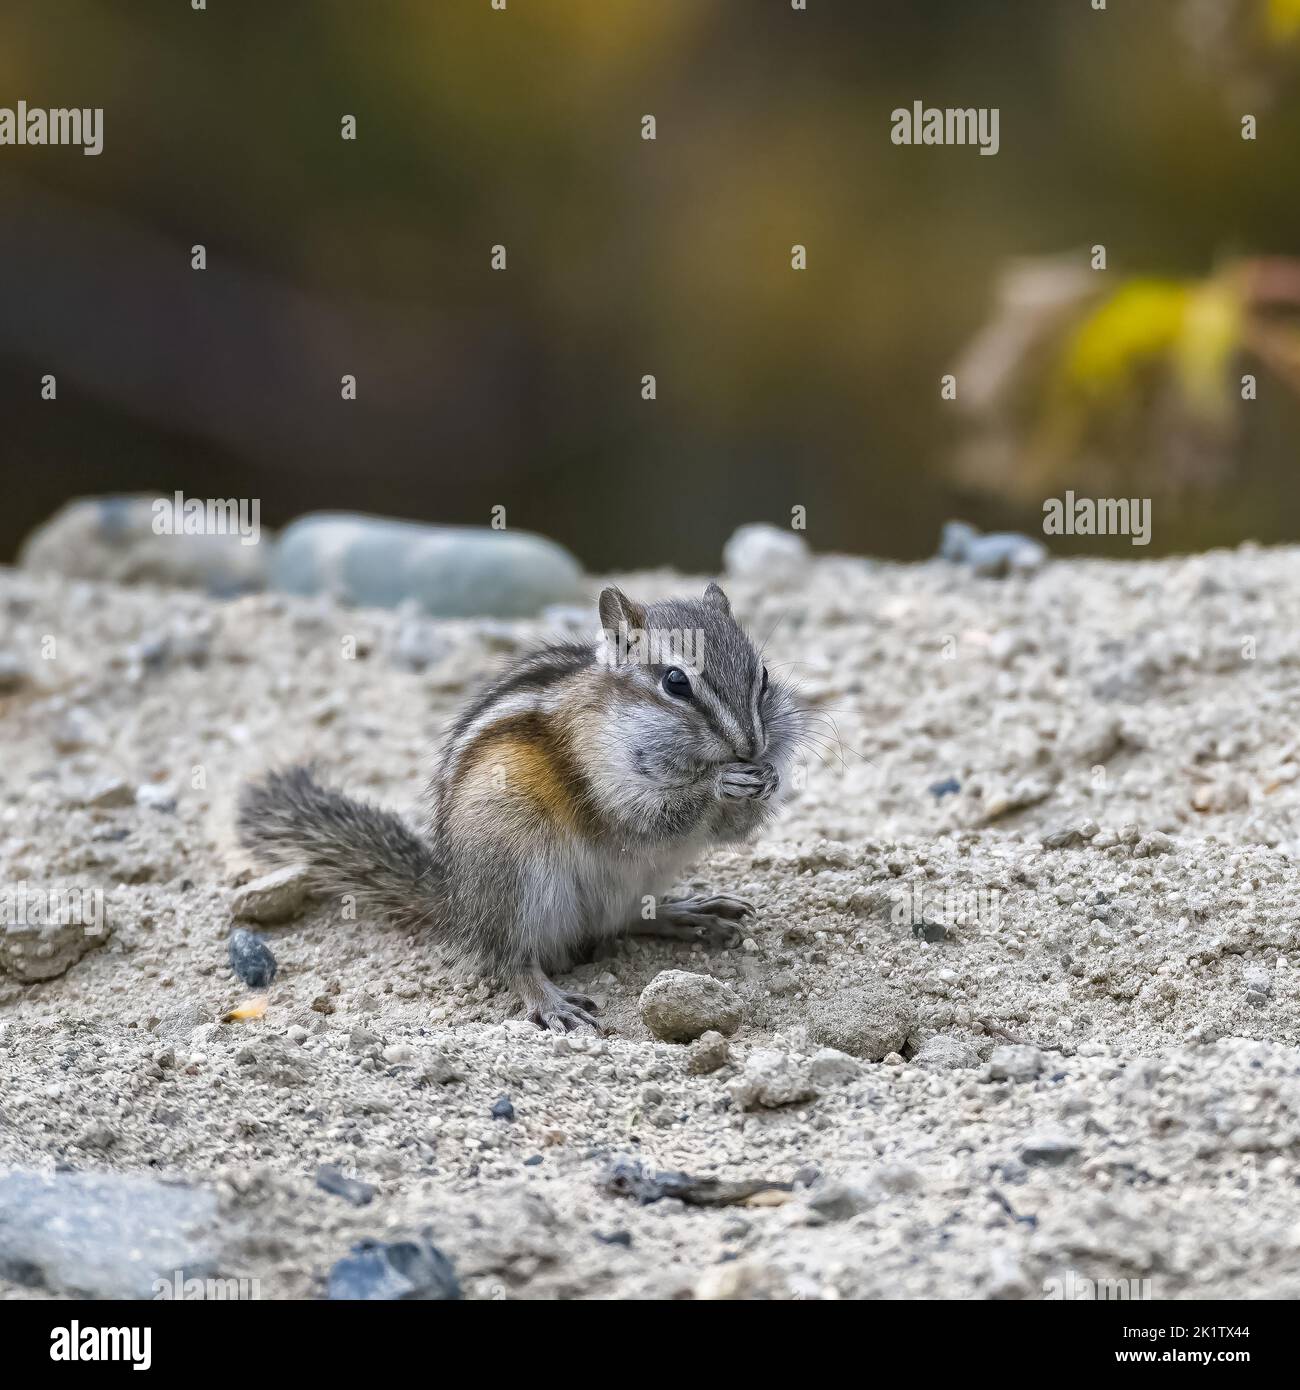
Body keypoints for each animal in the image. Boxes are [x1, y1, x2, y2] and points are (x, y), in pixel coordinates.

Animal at [237, 582, 806, 1032]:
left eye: (763, 674)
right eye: (675, 682)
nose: (752, 746)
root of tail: (457, 903)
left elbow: (729, 831)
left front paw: (769, 778)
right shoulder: (605, 778)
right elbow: (647, 816)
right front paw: (720, 781)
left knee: (621, 920)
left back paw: (688, 913)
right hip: (517, 869)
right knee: (512, 956)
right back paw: (548, 999)